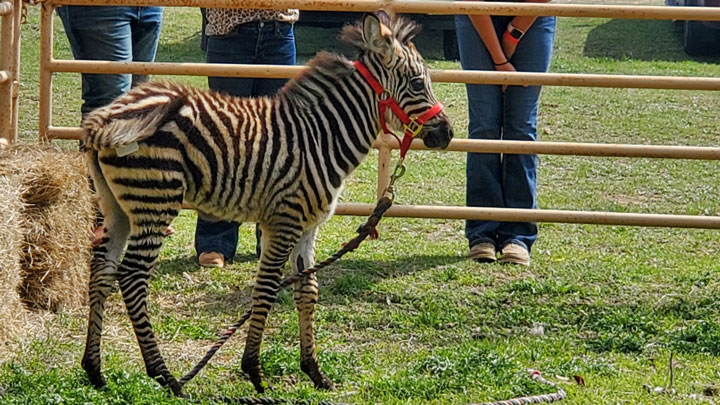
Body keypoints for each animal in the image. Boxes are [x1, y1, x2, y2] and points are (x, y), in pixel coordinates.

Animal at [79, 11, 450, 394]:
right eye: (418, 84)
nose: (447, 134)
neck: (321, 137)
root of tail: (103, 119)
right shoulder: (283, 221)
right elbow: (268, 287)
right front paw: (254, 370)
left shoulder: (308, 225)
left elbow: (307, 290)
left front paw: (314, 371)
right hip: (155, 201)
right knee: (132, 276)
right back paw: (163, 374)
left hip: (117, 208)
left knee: (102, 270)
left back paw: (95, 370)